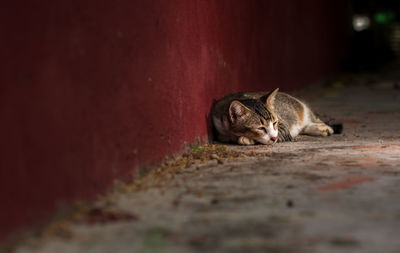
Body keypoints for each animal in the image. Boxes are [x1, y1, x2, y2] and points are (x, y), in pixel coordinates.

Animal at [211, 88, 340, 144]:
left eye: (274, 123)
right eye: (260, 128)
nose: (274, 138)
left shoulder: (282, 127)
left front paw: (246, 139)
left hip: (303, 108)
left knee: (315, 119)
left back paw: (322, 127)